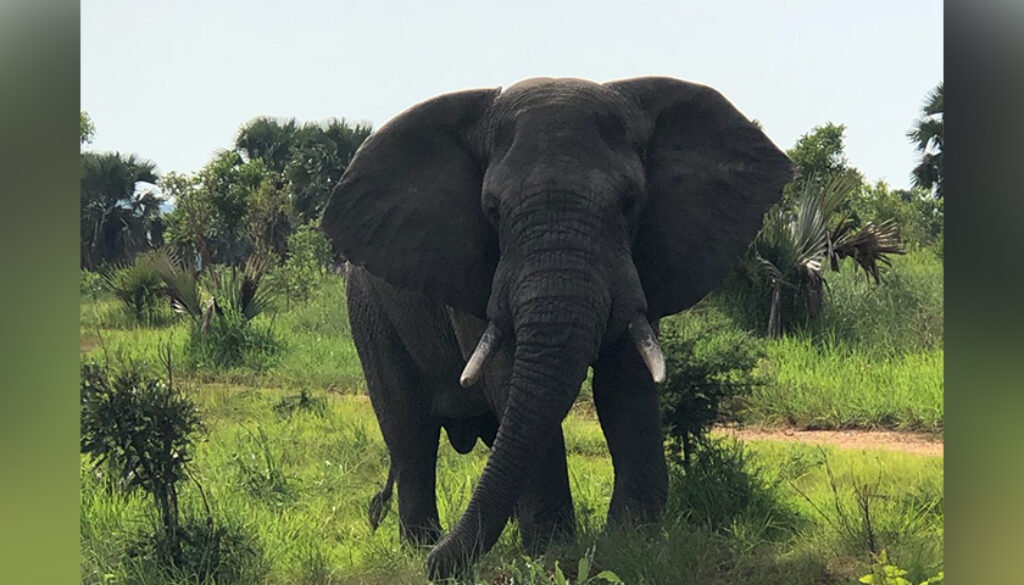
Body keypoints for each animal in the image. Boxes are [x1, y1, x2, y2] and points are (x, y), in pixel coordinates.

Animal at [320, 76, 793, 579]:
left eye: (630, 203)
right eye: (492, 210)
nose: (438, 566)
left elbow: (626, 384)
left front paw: (631, 545)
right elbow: (507, 374)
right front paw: (552, 554)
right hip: (368, 312)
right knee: (410, 435)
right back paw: (419, 544)